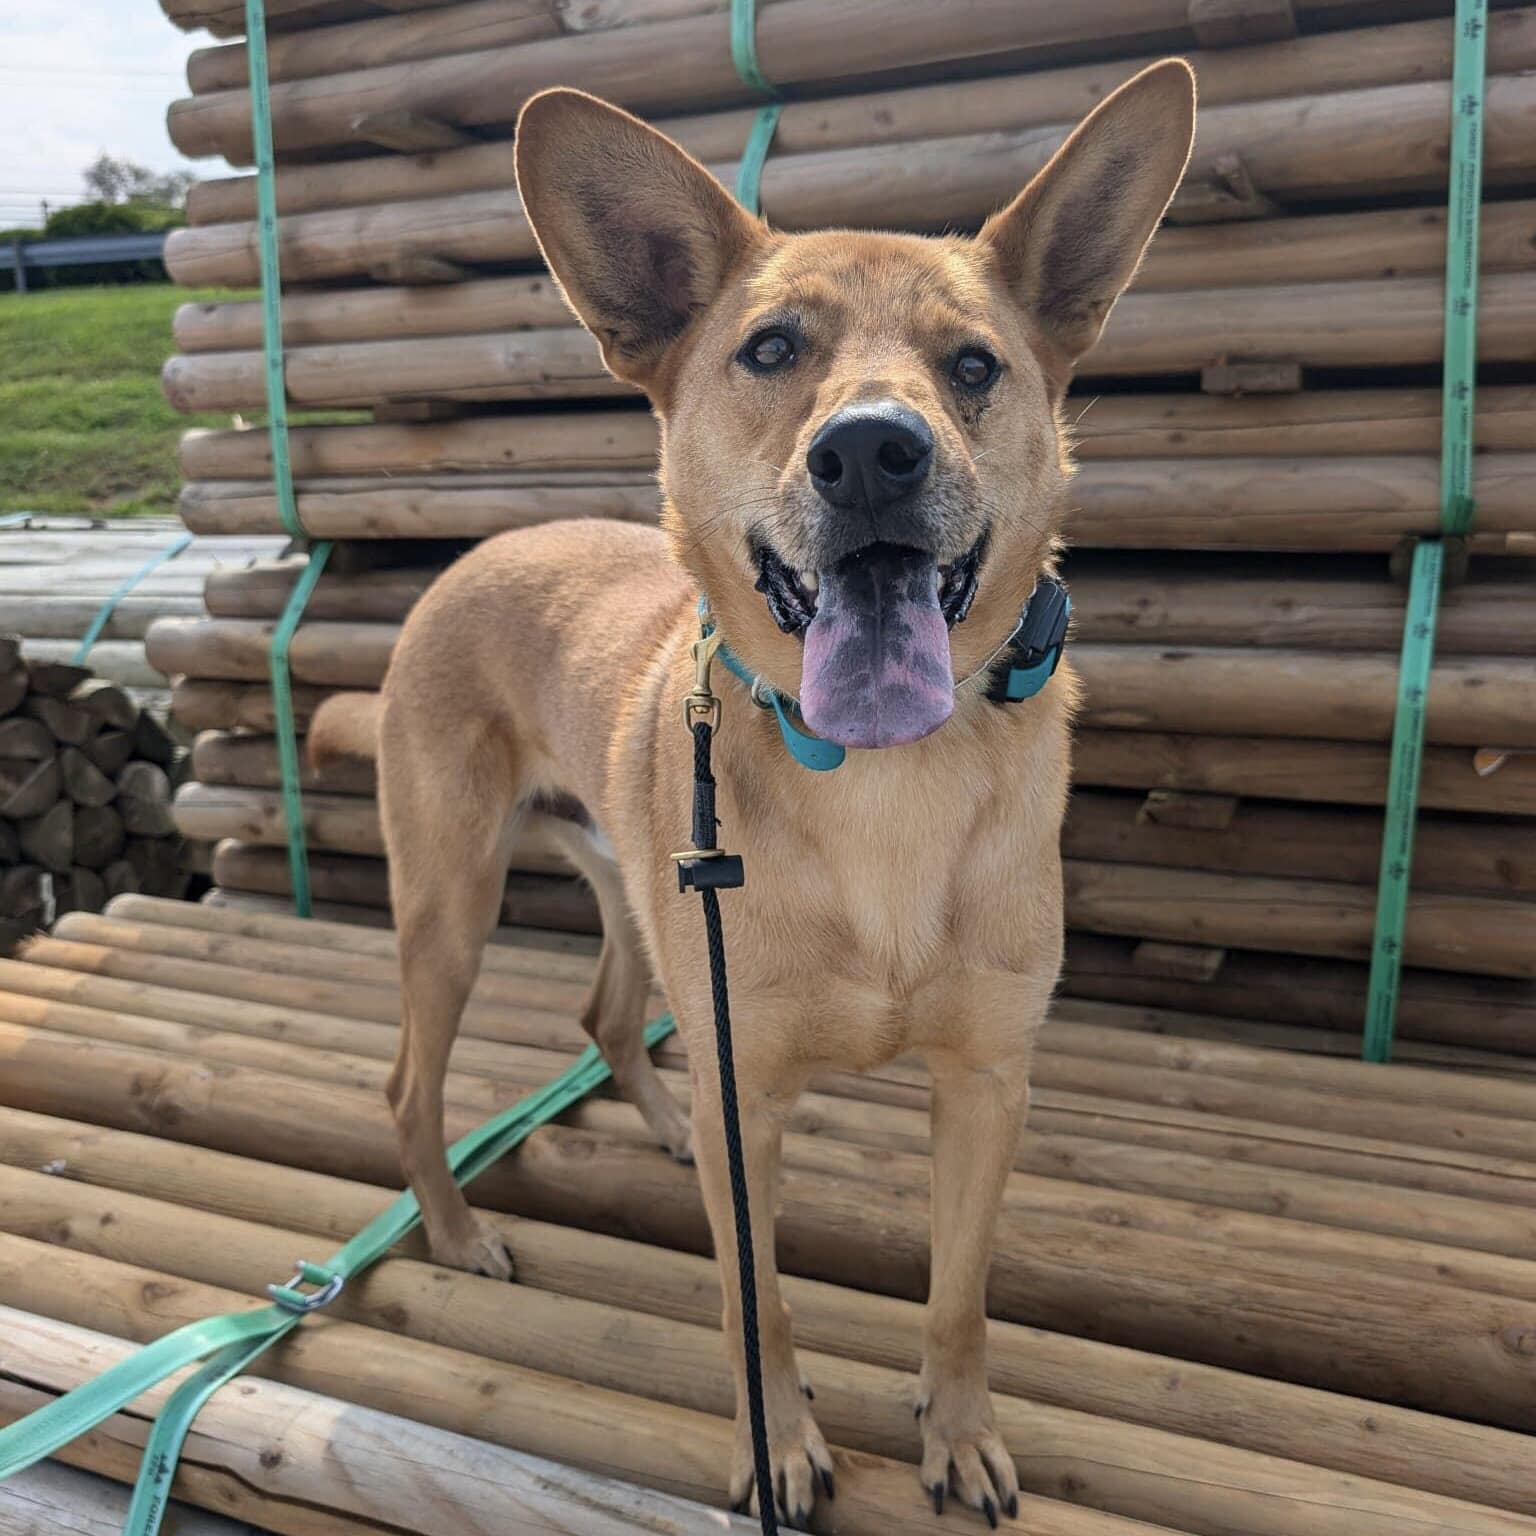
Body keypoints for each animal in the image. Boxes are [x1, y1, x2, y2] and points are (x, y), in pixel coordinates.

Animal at [311, 66, 1191, 1529]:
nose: (874, 454)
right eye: (772, 351)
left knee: (610, 1016)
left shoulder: (986, 1084)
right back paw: (458, 1230)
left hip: (637, 900)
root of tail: (476, 555)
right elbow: (754, 1298)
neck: (884, 783)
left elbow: (958, 1299)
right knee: (401, 1087)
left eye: (974, 367)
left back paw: (663, 1131)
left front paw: (960, 1435)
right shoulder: (753, 1093)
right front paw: (777, 1446)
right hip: (452, 909)